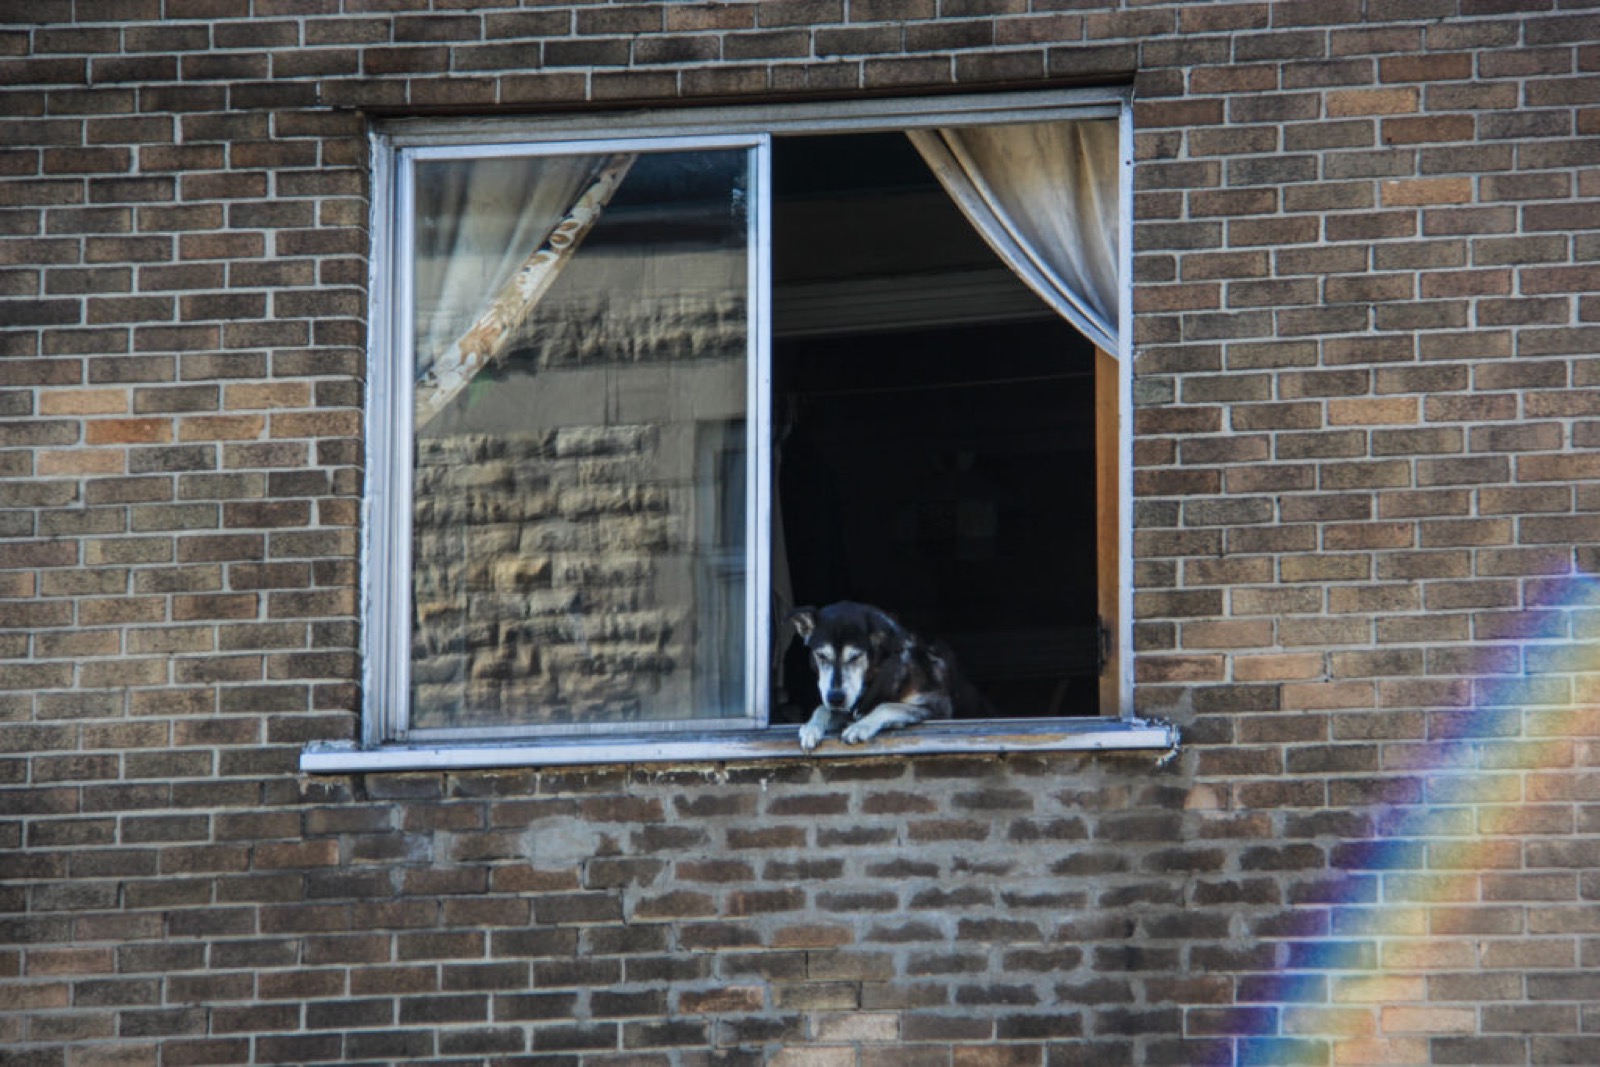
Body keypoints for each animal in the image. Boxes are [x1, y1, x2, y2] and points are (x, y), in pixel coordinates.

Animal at [784, 601, 947, 751]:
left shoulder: (936, 704)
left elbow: (886, 706)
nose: (835, 698)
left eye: (855, 656)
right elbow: (822, 708)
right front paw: (811, 727)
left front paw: (860, 726)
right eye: (821, 655)